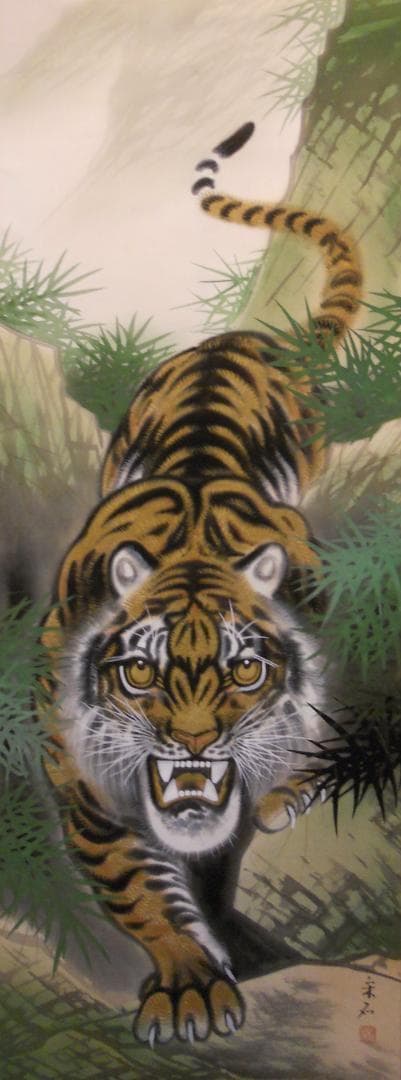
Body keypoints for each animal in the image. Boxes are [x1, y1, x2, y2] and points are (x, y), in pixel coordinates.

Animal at [38, 121, 362, 1047]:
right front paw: (188, 983)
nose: (191, 745)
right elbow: (137, 888)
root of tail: (245, 341)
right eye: (141, 674)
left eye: (243, 669)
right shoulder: (84, 788)